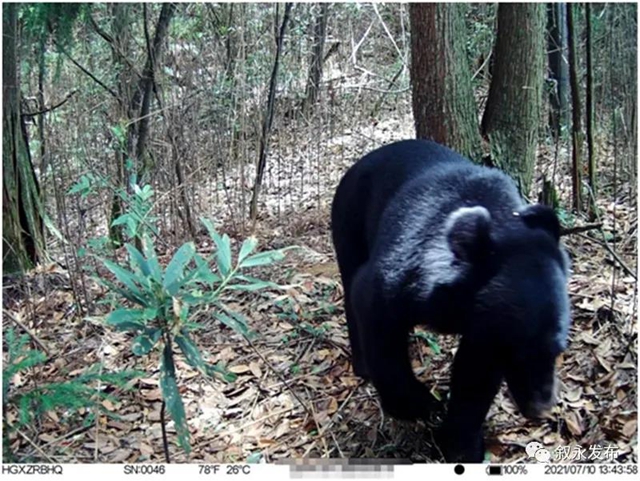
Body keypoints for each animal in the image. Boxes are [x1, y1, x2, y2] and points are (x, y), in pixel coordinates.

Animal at [330, 139, 568, 462]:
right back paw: (363, 366)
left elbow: (475, 376)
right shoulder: (399, 276)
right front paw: (419, 404)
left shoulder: (485, 331)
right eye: (518, 352)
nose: (540, 407)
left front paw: (461, 444)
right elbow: (373, 311)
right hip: (348, 220)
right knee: (351, 283)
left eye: (558, 350)